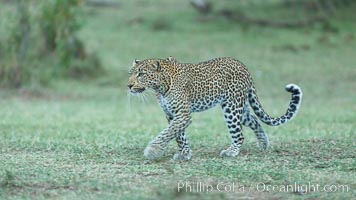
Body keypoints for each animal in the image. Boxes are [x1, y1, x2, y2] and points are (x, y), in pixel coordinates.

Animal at [126, 56, 302, 161]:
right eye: (131, 73)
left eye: (141, 74)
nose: (129, 85)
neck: (161, 86)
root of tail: (244, 66)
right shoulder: (171, 114)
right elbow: (178, 135)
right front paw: (184, 153)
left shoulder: (182, 114)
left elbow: (168, 133)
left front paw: (153, 150)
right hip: (240, 107)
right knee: (254, 120)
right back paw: (263, 143)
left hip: (232, 107)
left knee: (239, 135)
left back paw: (231, 152)